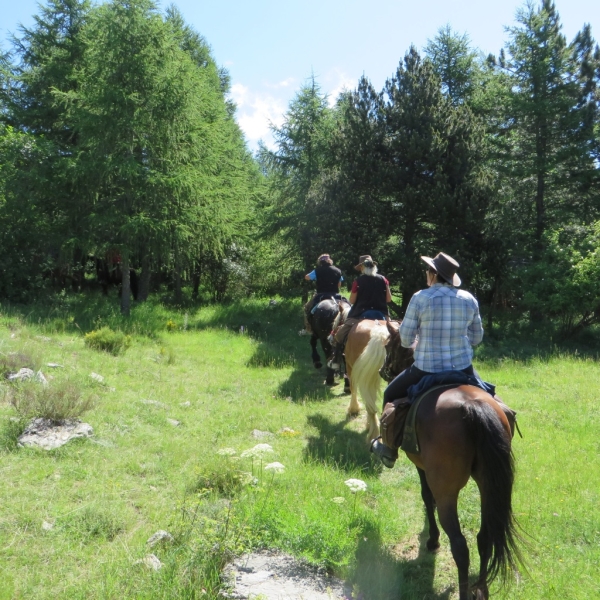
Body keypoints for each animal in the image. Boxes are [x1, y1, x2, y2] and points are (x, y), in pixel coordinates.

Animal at [382, 324, 524, 600]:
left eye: (387, 346)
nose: (384, 371)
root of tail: (473, 407)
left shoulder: (421, 467)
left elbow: (427, 497)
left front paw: (432, 540)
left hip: (448, 490)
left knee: (460, 545)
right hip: (488, 485)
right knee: (484, 537)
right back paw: (482, 589)